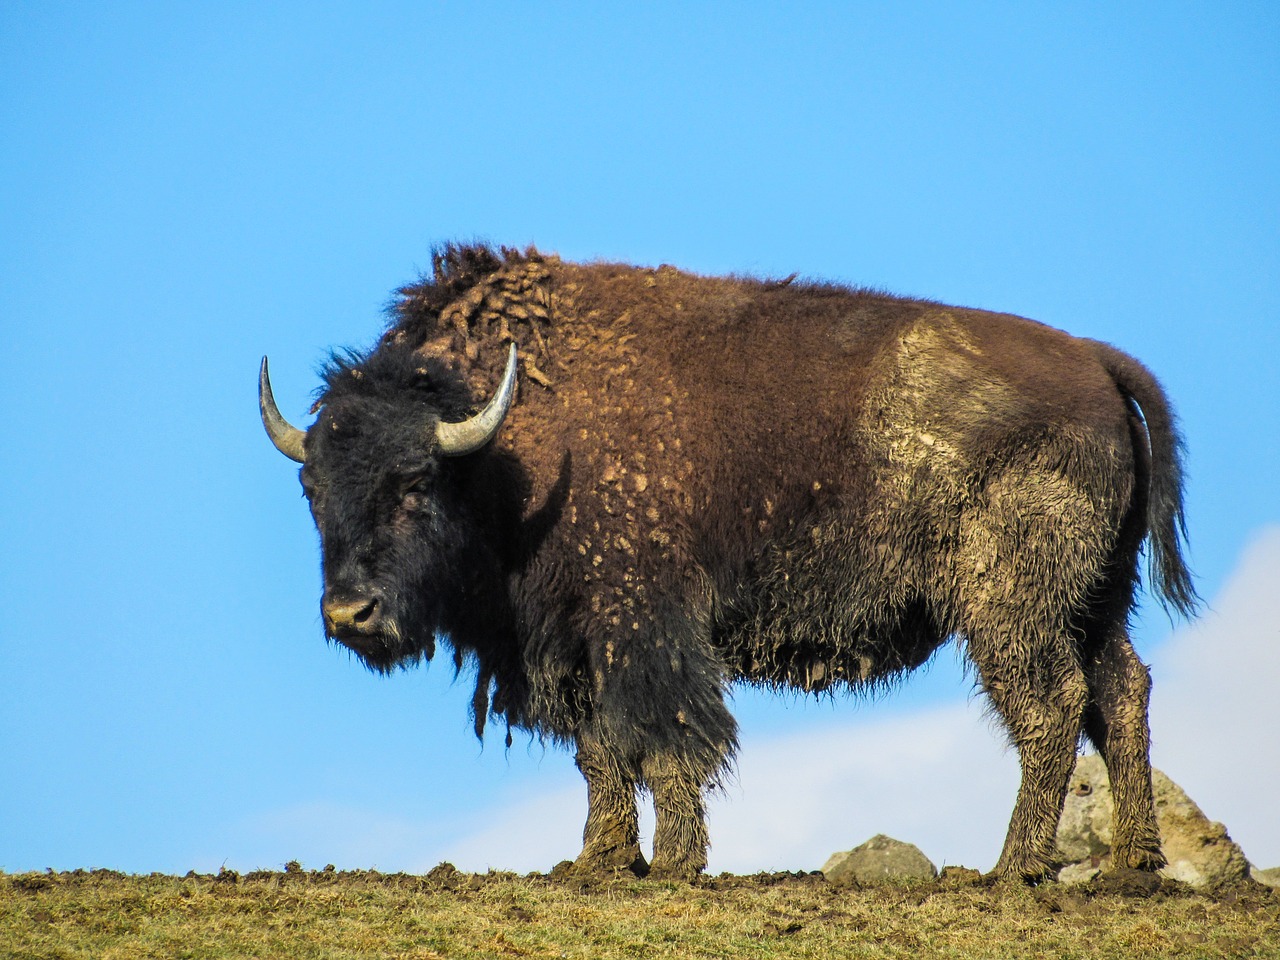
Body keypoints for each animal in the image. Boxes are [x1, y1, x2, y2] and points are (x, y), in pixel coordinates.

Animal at [254, 244, 1192, 885]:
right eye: (311, 487)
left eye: (416, 483)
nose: (349, 614)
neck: (506, 438)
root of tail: (1093, 360)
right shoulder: (567, 645)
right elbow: (600, 753)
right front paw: (596, 863)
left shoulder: (642, 627)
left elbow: (665, 743)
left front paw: (672, 862)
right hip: (1097, 600)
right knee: (1120, 689)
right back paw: (1131, 864)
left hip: (1010, 607)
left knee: (1053, 703)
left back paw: (1013, 868)